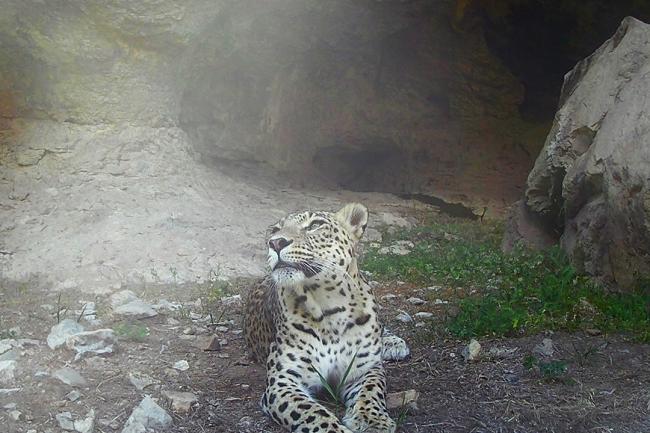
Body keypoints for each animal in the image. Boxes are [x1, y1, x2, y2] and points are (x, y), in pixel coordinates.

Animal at [240, 202, 408, 432]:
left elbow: (371, 392)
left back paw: (393, 343)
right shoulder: (283, 382)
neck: (329, 306)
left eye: (315, 225)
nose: (275, 242)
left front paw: (373, 420)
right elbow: (311, 412)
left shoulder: (364, 370)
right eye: (275, 230)